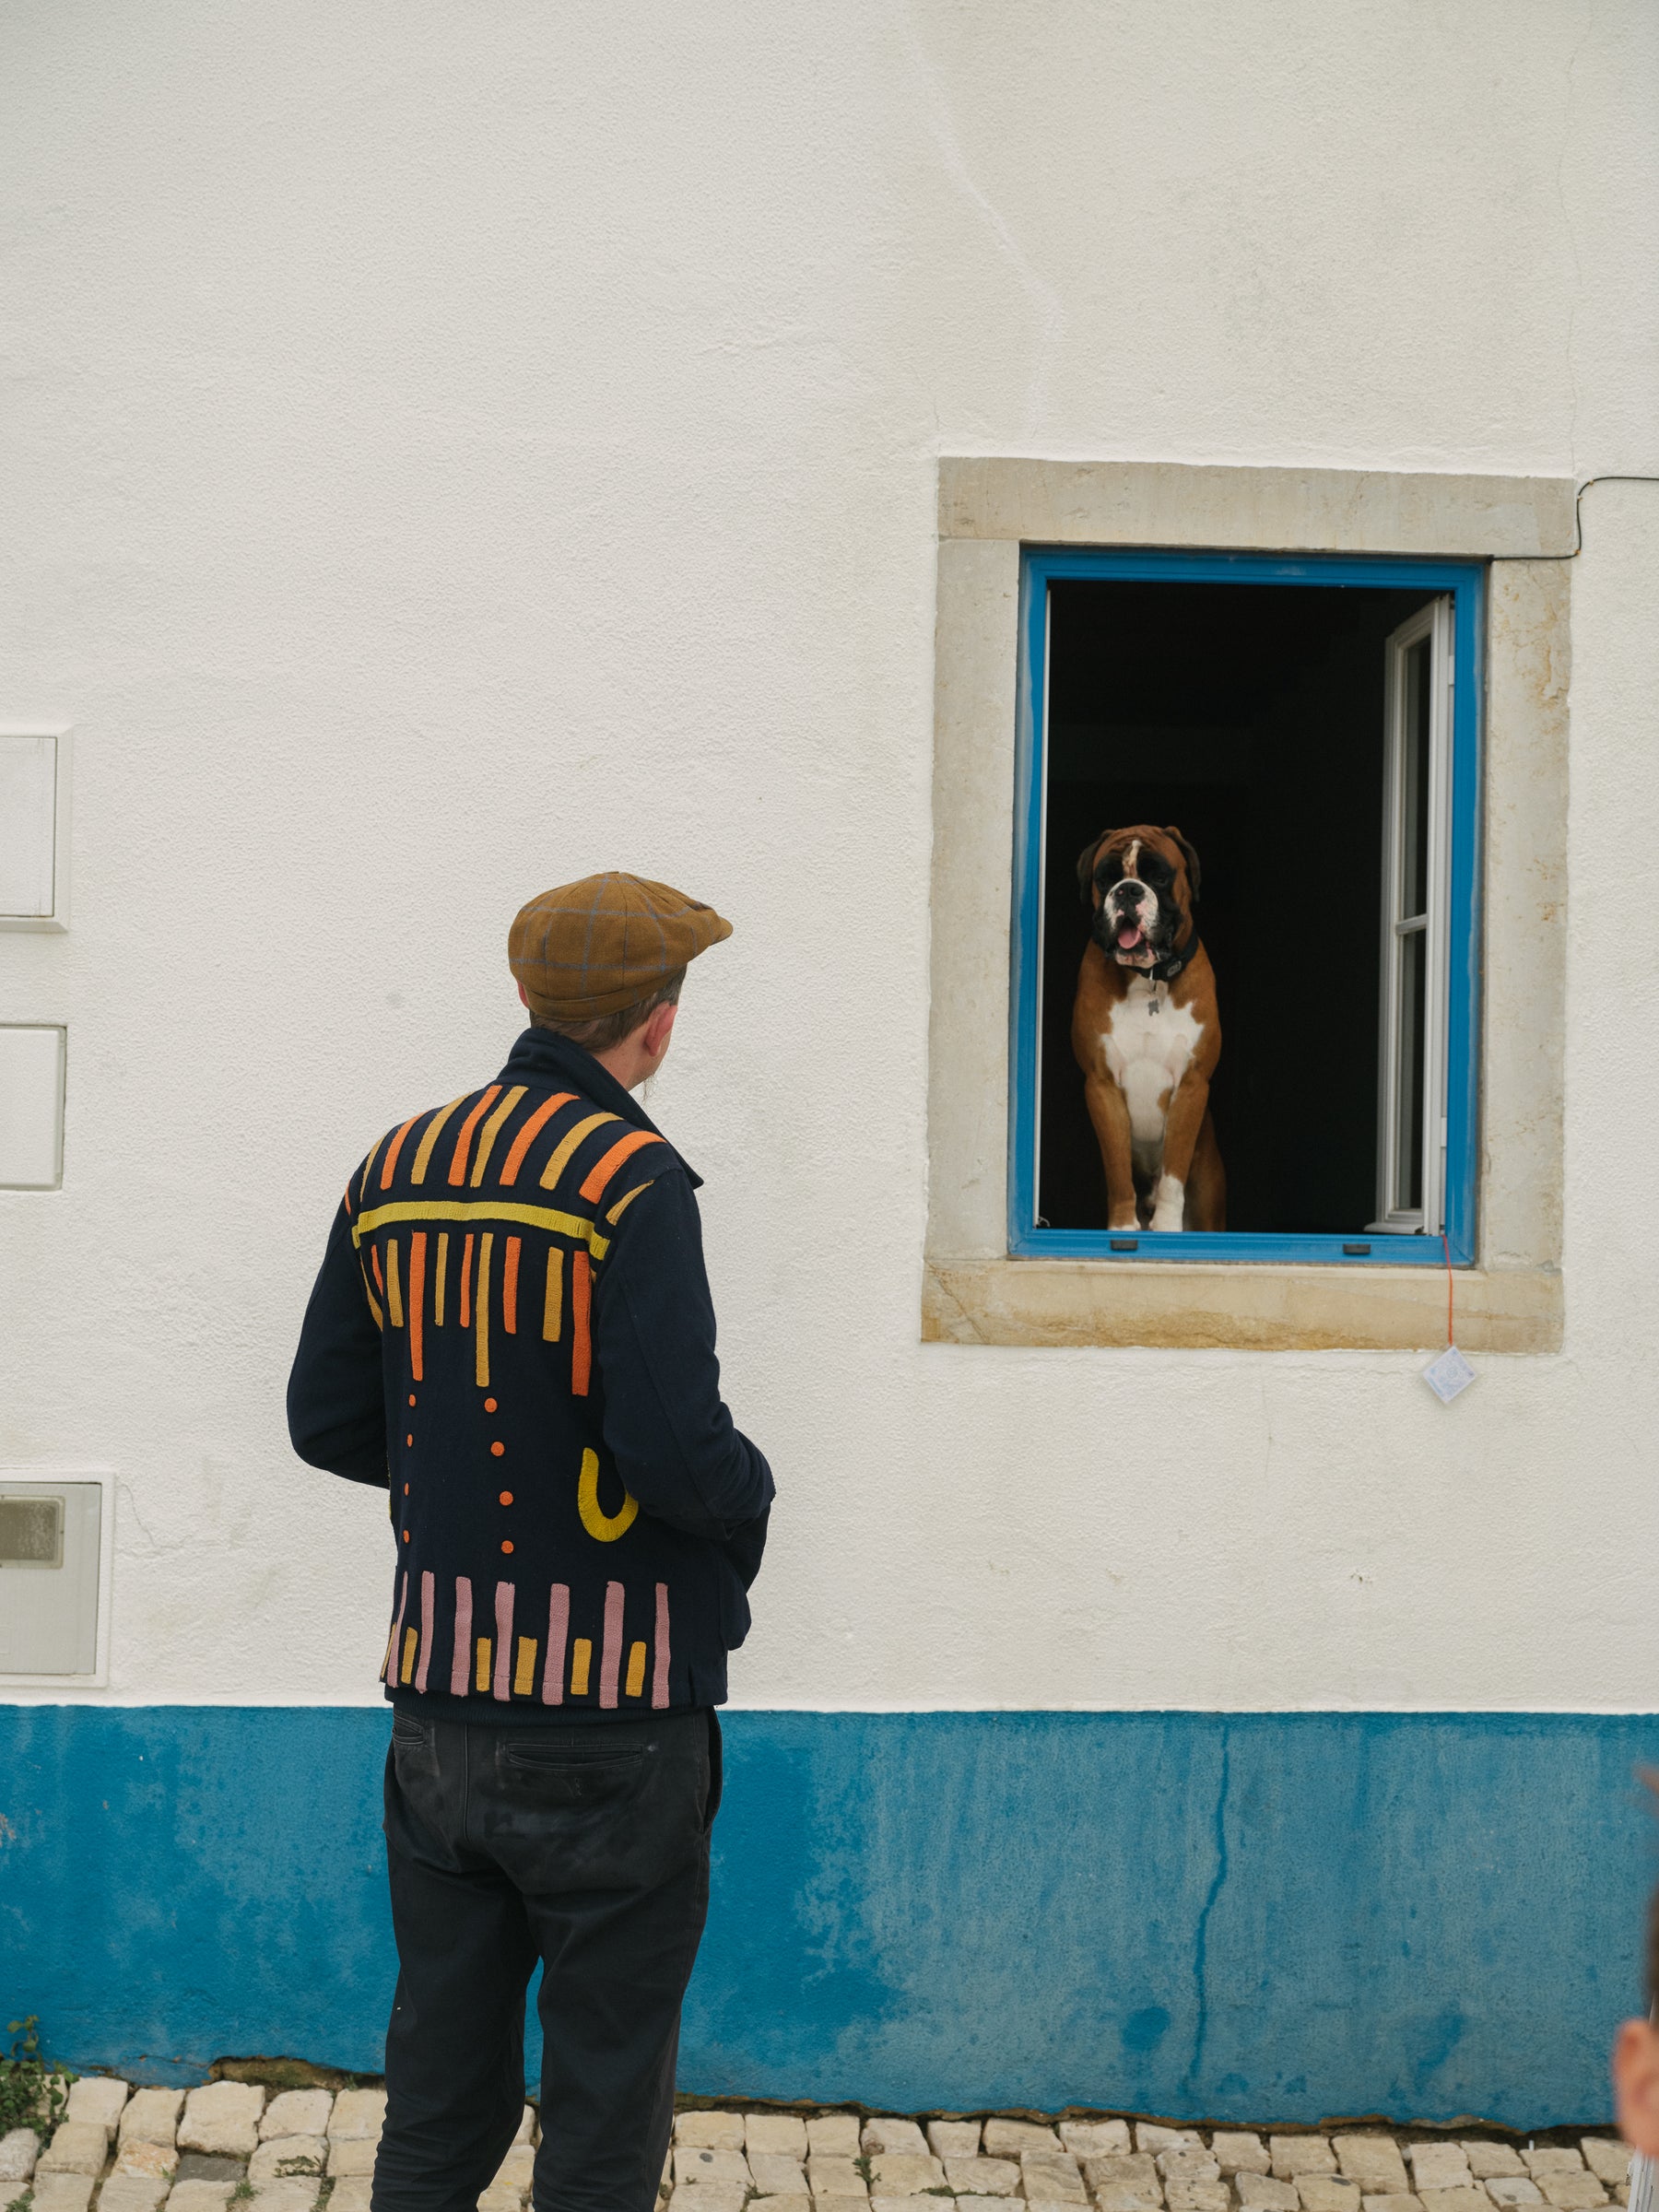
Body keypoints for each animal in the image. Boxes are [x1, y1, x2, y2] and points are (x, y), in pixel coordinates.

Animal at [1070, 831, 1230, 1239]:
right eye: (1106, 878)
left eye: (1158, 876)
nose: (1128, 890)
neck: (1148, 980)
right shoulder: (1102, 1085)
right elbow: (1117, 1169)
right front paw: (1122, 1227)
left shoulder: (1191, 1085)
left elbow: (1173, 1173)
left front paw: (1168, 1229)